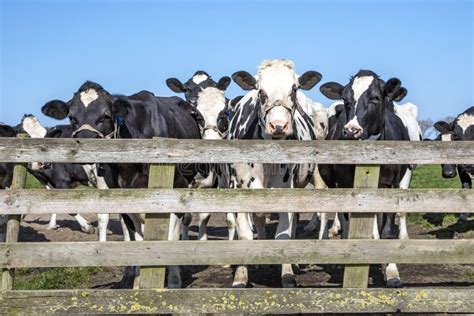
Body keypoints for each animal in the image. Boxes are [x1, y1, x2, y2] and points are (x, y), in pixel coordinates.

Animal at [41, 80, 203, 288]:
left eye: (106, 115)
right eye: (71, 117)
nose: (86, 145)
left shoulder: (176, 190)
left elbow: (170, 235)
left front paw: (174, 280)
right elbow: (137, 237)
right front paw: (138, 281)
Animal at [226, 58, 322, 288]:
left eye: (294, 89)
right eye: (261, 91)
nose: (278, 126)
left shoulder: (286, 189)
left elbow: (283, 234)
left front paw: (287, 276)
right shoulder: (239, 189)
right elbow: (245, 235)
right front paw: (240, 277)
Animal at [316, 69, 420, 288]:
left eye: (375, 98)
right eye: (346, 99)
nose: (351, 130)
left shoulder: (392, 185)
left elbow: (387, 230)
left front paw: (391, 271)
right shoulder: (347, 186)